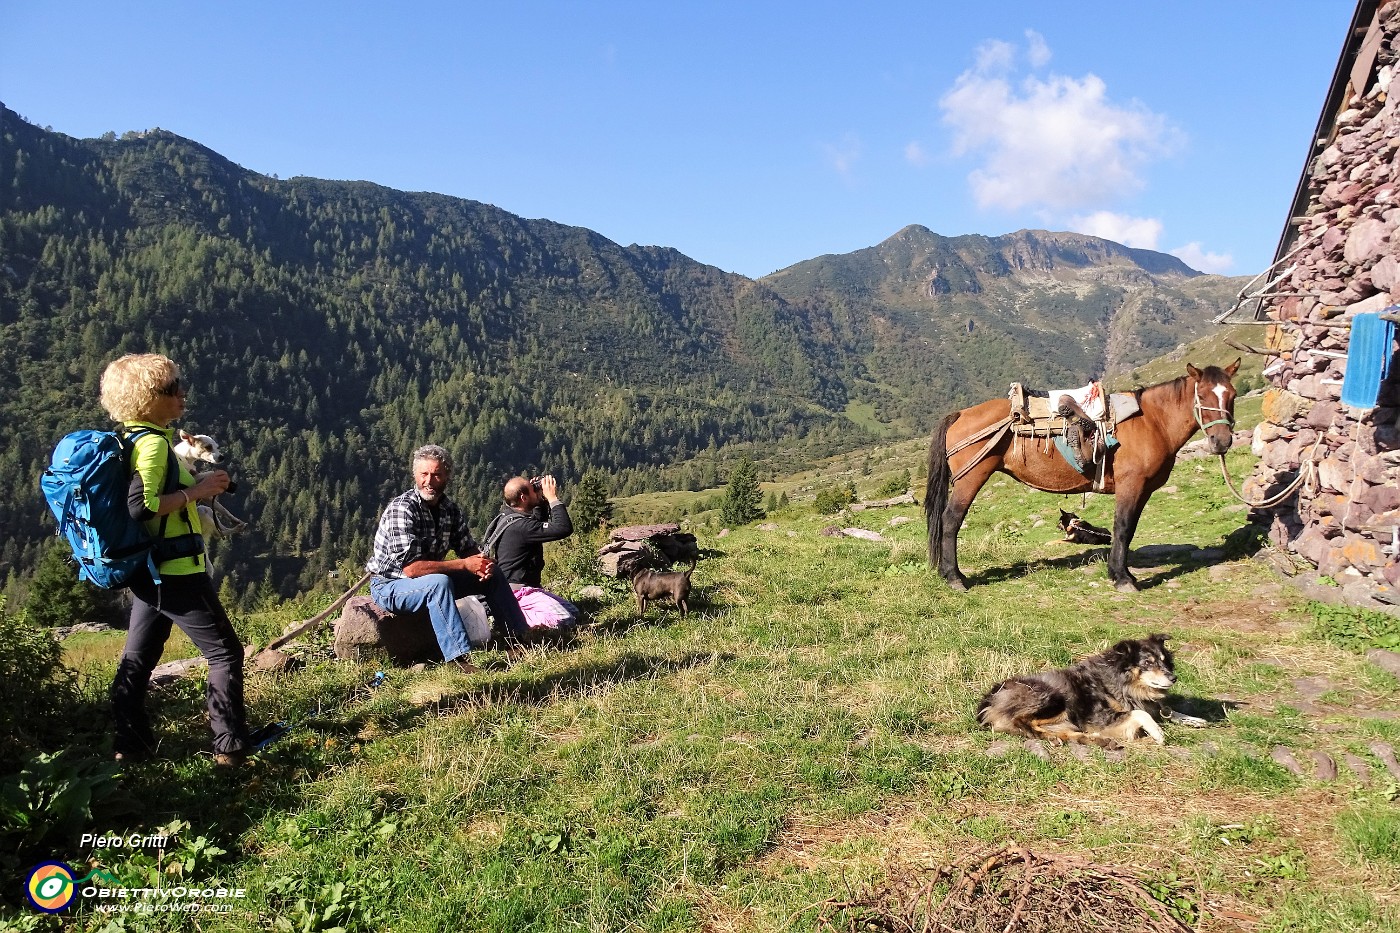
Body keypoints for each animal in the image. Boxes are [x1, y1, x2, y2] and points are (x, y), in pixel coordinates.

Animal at [929, 358, 1237, 591]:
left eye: (1231, 395)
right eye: (1202, 395)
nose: (1221, 441)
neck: (1153, 422)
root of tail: (960, 414)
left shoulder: (1143, 489)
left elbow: (1129, 530)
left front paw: (1122, 573)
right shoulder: (1131, 484)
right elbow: (1122, 527)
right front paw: (1123, 579)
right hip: (971, 478)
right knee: (951, 520)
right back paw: (954, 578)